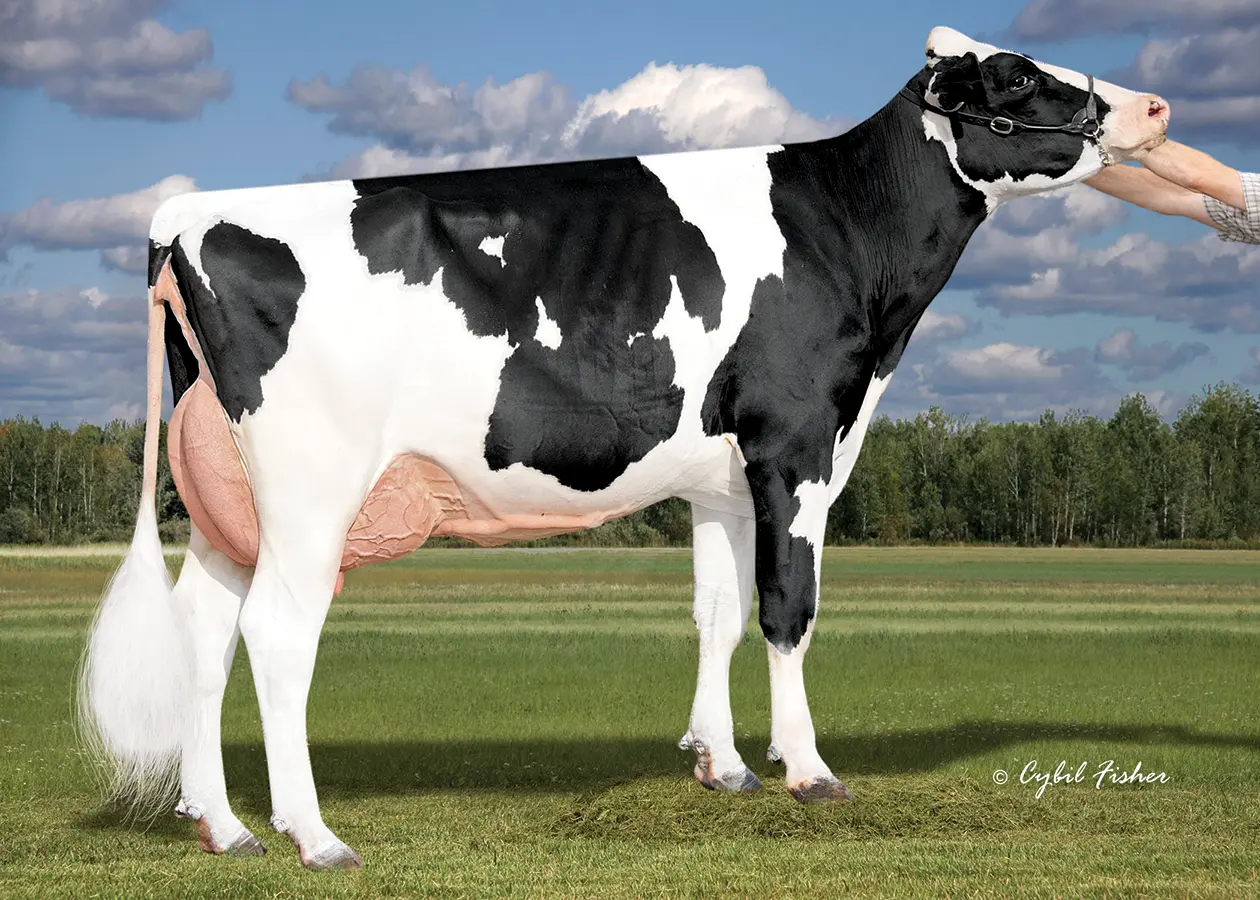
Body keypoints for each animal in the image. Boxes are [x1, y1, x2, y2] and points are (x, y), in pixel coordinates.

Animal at [78, 27, 1170, 869]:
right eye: (1018, 78)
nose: (1155, 107)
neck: (844, 231)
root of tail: (189, 212)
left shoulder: (724, 478)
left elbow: (718, 611)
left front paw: (723, 765)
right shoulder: (797, 443)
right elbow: (789, 609)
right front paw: (810, 771)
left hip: (230, 501)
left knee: (203, 632)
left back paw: (223, 827)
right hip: (312, 487)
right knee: (276, 635)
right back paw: (313, 836)